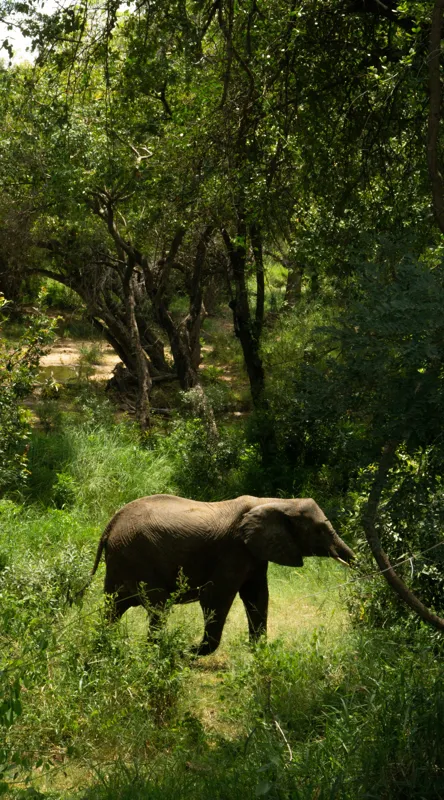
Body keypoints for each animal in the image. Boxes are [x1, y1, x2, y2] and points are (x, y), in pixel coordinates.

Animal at [83, 493, 354, 655]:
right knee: (157, 605)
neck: (276, 501)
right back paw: (157, 650)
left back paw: (105, 643)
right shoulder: (233, 549)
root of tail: (110, 524)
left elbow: (257, 595)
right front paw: (191, 652)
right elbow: (216, 596)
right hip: (137, 556)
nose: (352, 561)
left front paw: (258, 652)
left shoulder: (254, 552)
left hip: (121, 559)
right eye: (319, 531)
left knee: (114, 606)